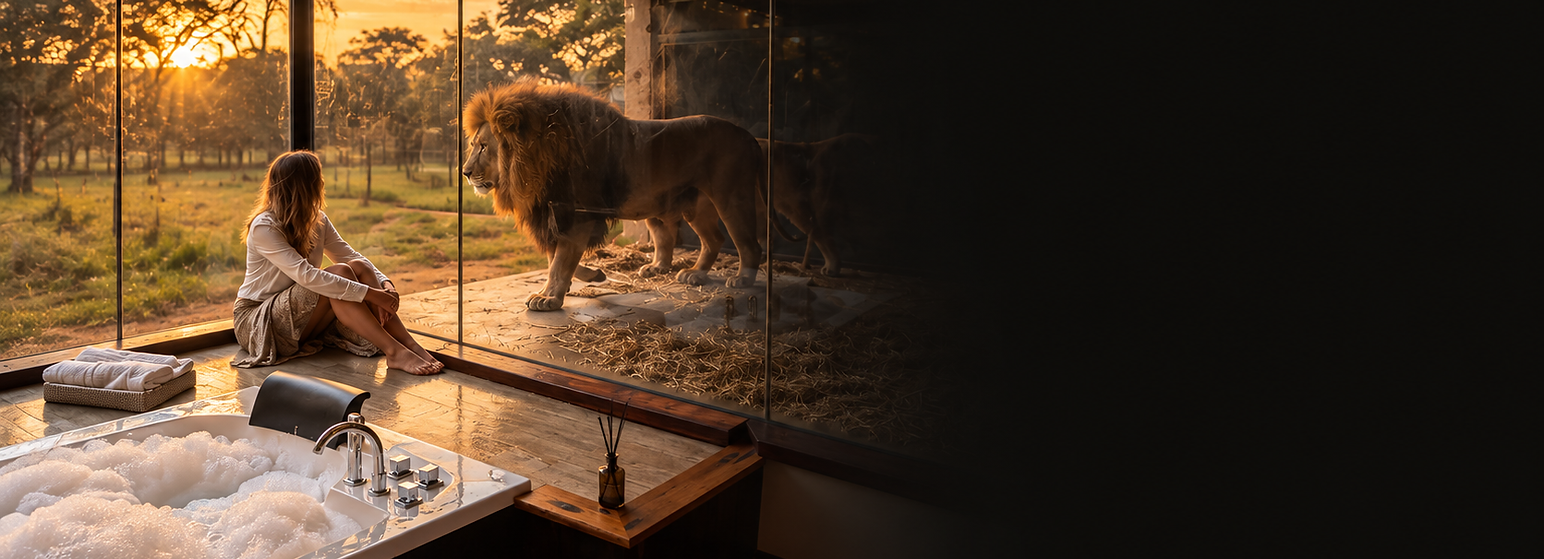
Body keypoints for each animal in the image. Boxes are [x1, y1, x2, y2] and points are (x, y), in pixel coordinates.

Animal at [461, 80, 766, 311]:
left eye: (483, 146)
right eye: (474, 144)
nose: (464, 172)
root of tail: (748, 135)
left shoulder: (577, 215)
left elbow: (559, 262)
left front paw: (548, 297)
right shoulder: (552, 216)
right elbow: (555, 259)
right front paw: (590, 276)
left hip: (731, 197)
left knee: (748, 244)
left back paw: (742, 279)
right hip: (694, 205)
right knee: (712, 239)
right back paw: (688, 272)